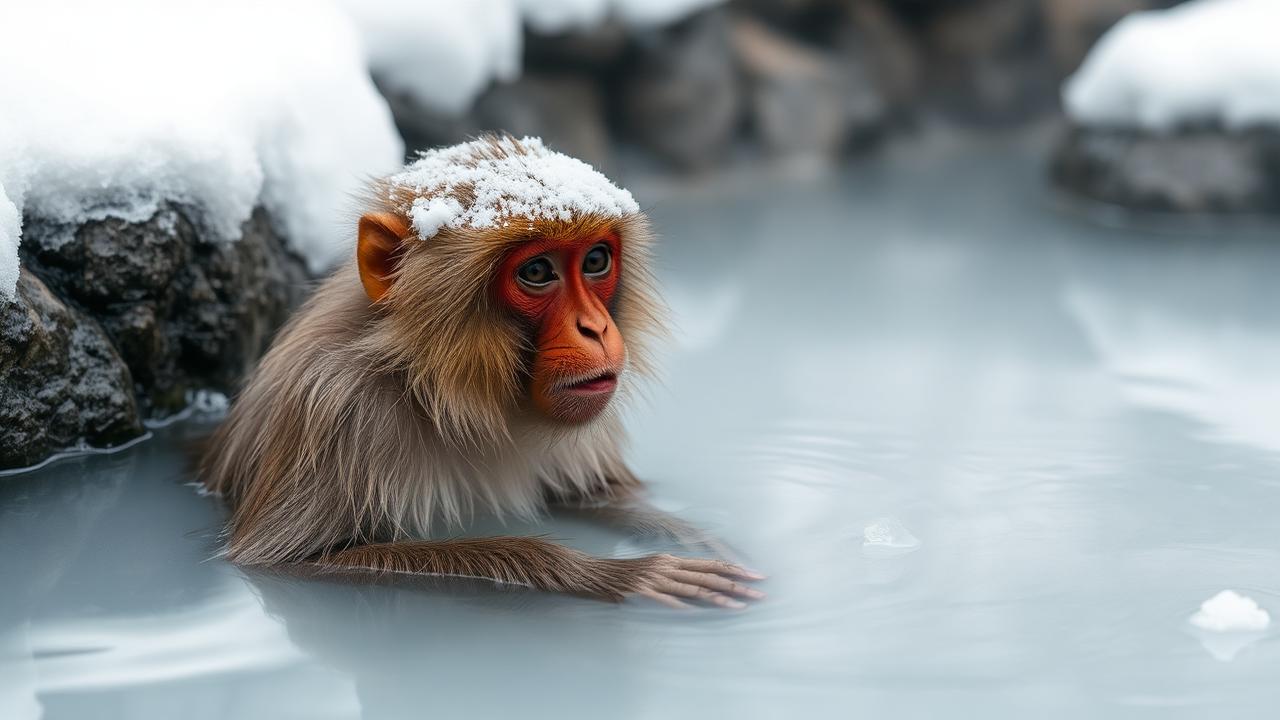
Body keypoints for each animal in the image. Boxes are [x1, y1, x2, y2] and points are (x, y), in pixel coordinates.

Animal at [198, 135, 764, 609]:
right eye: (537, 272)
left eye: (596, 261)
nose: (596, 329)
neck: (436, 391)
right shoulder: (336, 408)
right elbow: (294, 564)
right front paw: (612, 574)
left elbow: (597, 494)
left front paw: (681, 528)